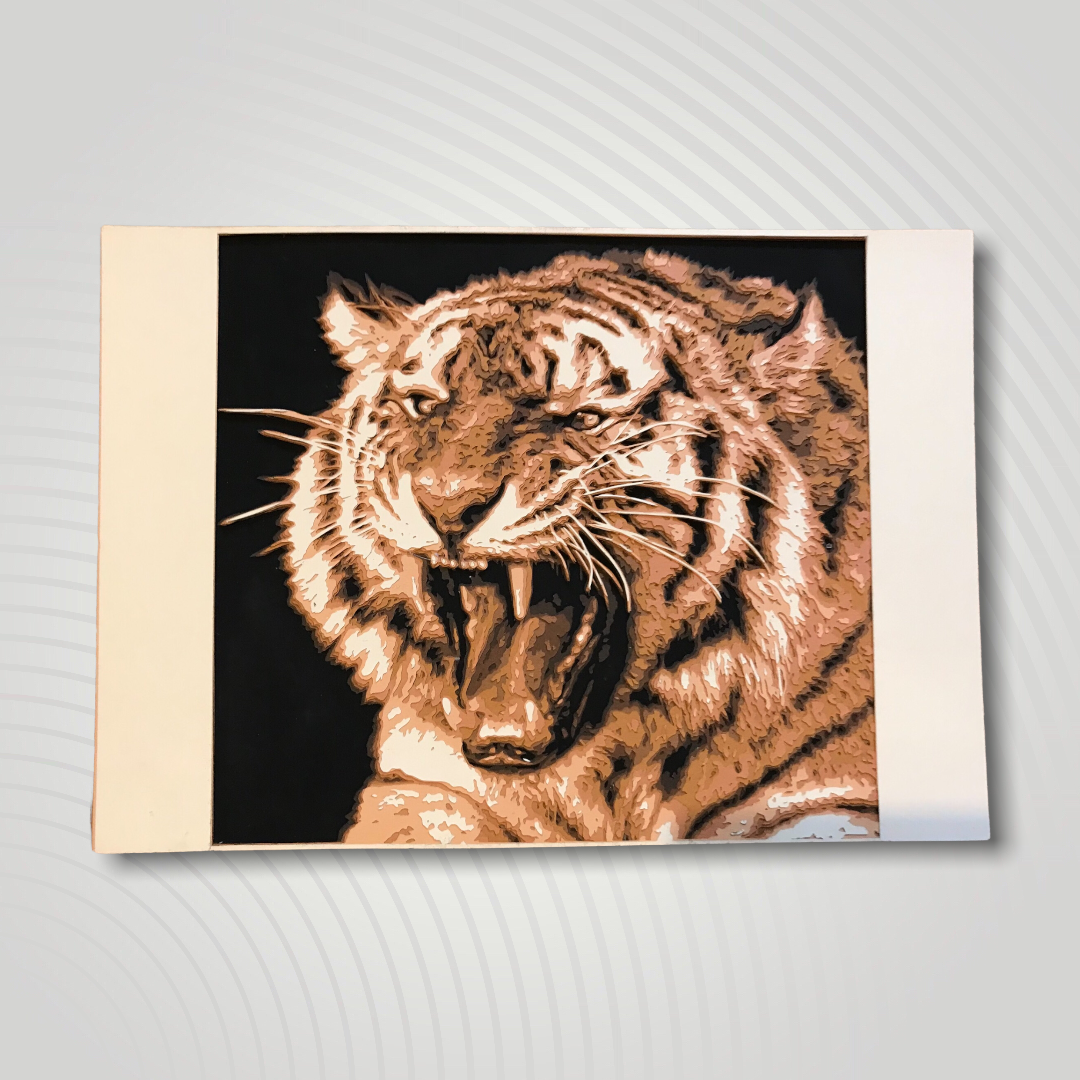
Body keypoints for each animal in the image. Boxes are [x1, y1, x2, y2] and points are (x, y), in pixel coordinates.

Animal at [229, 249, 876, 843]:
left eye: (583, 417)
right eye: (423, 405)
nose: (447, 501)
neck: (606, 776)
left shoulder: (830, 796)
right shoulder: (426, 786)